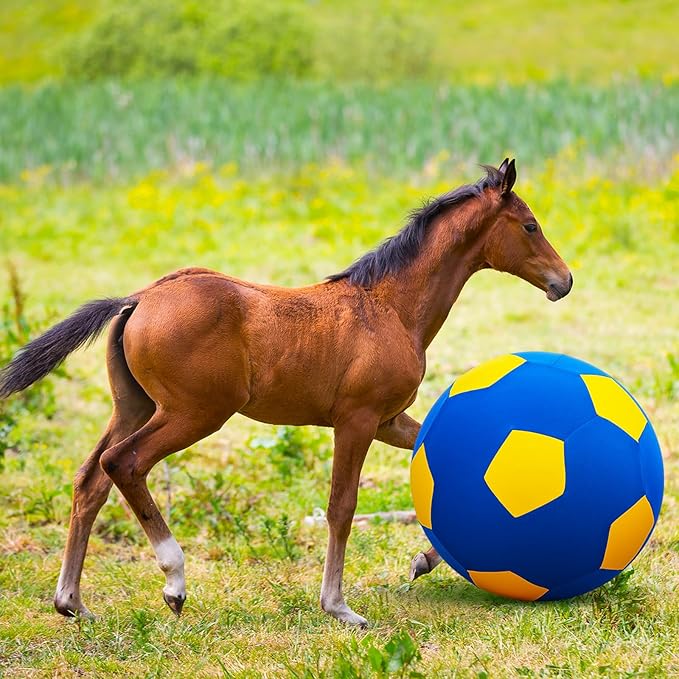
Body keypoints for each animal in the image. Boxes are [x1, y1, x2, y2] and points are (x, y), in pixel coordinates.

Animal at [0, 159, 572, 627]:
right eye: (530, 225)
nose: (563, 281)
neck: (389, 307)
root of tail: (139, 297)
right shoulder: (357, 420)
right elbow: (341, 506)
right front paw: (339, 607)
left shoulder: (388, 420)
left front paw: (424, 560)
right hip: (194, 413)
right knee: (124, 463)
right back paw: (174, 581)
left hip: (135, 406)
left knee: (89, 479)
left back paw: (71, 602)